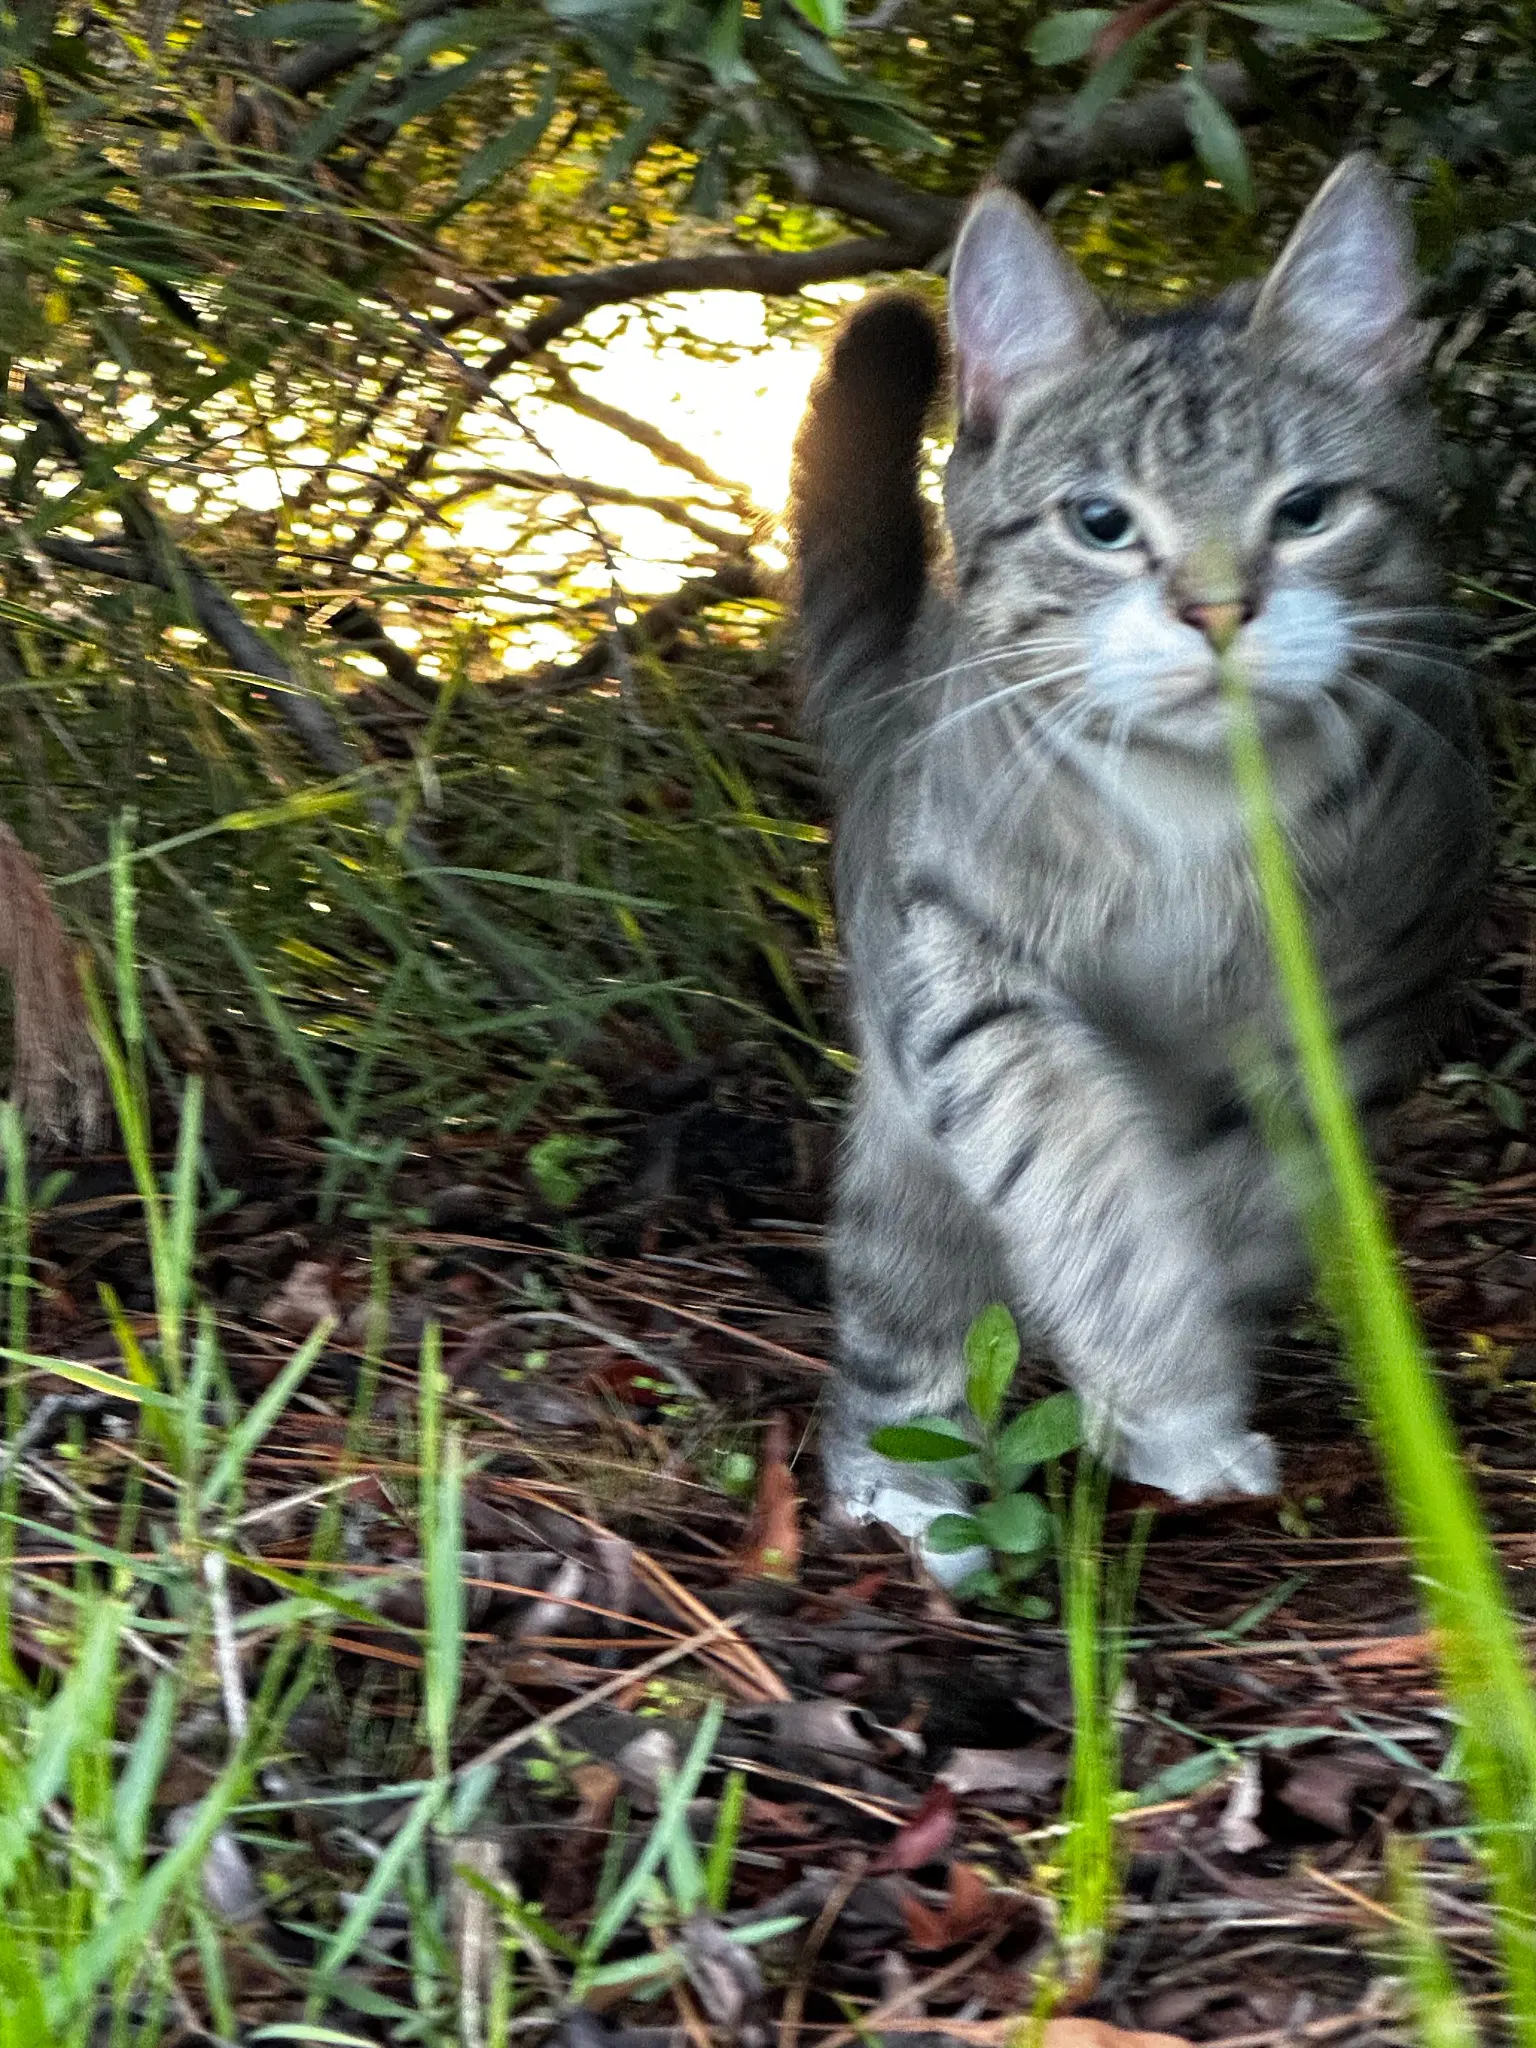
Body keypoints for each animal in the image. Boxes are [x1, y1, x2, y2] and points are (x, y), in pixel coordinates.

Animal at [789, 155, 1491, 1580]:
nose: (1217, 608)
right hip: (902, 1109)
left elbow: (1256, 1189)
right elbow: (1077, 1173)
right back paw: (905, 1486)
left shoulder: (1380, 979)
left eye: (1308, 510)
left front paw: (1182, 1373)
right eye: (1102, 524)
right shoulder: (968, 965)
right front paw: (1166, 1379)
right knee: (901, 1292)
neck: (1195, 815)